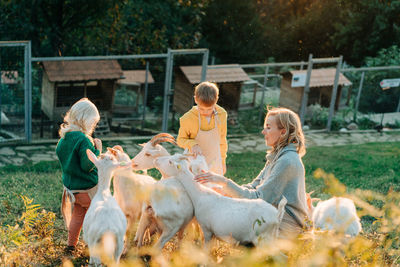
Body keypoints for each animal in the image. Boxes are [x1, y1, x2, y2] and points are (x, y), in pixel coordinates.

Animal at [154, 155, 288, 247]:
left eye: (170, 162)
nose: (156, 160)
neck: (200, 195)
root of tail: (277, 215)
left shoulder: (207, 229)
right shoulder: (214, 233)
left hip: (263, 239)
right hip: (271, 238)